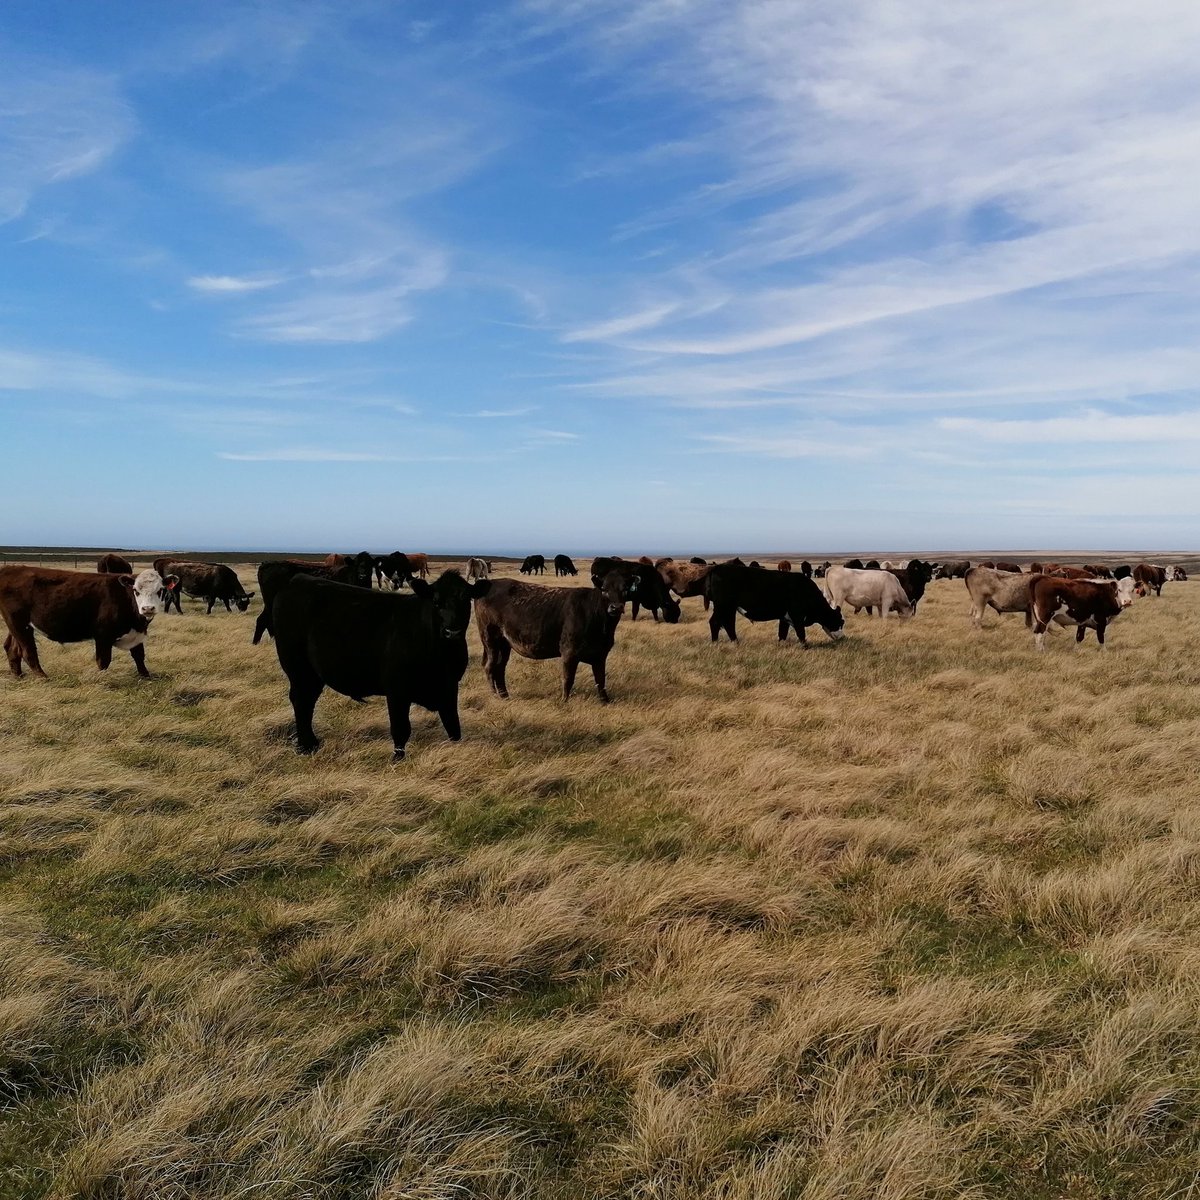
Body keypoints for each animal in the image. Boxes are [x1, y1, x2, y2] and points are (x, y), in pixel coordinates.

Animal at [0, 565, 164, 678]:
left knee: (12, 648)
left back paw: (19, 676)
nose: (147, 608)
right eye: (136, 590)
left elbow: (139, 656)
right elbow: (103, 660)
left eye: (160, 590)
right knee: (28, 651)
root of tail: (10, 569)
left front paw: (146, 676)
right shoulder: (103, 635)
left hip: (18, 625)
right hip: (18, 623)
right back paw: (43, 677)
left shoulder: (136, 633)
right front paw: (102, 679)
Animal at [271, 570, 488, 759]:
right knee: (301, 701)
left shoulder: (449, 686)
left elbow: (454, 728)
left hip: (313, 675)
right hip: (298, 667)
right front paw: (397, 760)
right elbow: (401, 729)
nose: (452, 631)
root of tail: (297, 580)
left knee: (308, 702)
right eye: (436, 602)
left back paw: (311, 744)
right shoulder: (396, 690)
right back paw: (306, 746)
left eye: (466, 600)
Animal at [475, 570, 634, 702]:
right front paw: (564, 701)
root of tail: (489, 583)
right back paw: (494, 695)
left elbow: (601, 680)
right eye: (604, 590)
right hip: (490, 640)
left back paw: (505, 696)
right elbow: (568, 679)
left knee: (500, 668)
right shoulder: (569, 652)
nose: (616, 607)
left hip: (504, 644)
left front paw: (605, 701)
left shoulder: (600, 655)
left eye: (625, 589)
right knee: (489, 667)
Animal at [705, 563, 845, 645]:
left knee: (728, 624)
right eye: (840, 622)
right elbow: (801, 632)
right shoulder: (797, 615)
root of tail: (718, 567)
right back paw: (716, 643)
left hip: (728, 608)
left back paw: (735, 642)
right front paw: (805, 646)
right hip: (723, 606)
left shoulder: (785, 617)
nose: (843, 637)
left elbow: (782, 632)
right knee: (716, 622)